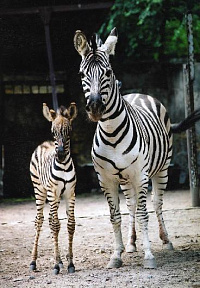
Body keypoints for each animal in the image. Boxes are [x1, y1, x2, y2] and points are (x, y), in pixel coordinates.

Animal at [29, 102, 77, 274]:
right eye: (53, 132)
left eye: (69, 131)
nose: (61, 155)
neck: (63, 166)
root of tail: (44, 143)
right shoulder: (53, 192)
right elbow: (55, 225)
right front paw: (56, 265)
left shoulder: (70, 193)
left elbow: (70, 224)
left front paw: (69, 263)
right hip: (40, 190)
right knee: (40, 220)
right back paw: (33, 262)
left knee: (50, 219)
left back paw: (61, 261)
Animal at [74, 28, 200, 268]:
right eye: (82, 74)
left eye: (108, 72)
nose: (94, 107)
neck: (112, 133)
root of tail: (139, 94)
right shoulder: (106, 180)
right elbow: (115, 216)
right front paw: (116, 255)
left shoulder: (140, 175)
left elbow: (144, 214)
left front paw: (149, 256)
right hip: (125, 180)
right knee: (131, 205)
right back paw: (132, 243)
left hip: (161, 170)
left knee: (156, 203)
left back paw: (166, 240)